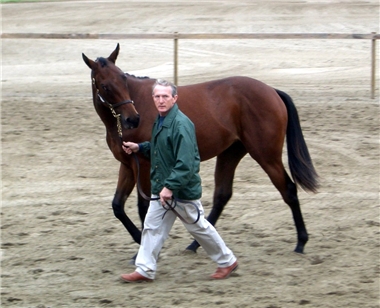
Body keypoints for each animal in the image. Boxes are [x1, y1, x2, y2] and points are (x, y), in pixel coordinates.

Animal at [82, 42, 318, 255]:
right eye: (105, 86)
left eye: (123, 78)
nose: (133, 119)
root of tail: (272, 91)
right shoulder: (129, 165)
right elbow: (117, 205)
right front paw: (140, 240)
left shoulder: (144, 165)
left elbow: (143, 208)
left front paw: (143, 248)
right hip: (230, 153)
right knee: (222, 196)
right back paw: (195, 244)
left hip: (266, 155)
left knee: (288, 190)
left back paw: (301, 242)